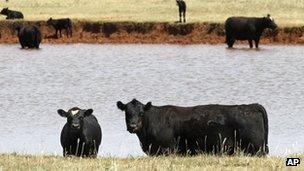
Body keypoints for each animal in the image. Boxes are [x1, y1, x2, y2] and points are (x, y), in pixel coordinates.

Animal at [116, 99, 268, 156]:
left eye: (141, 113)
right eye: (127, 113)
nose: (133, 125)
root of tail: (252, 105)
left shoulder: (167, 150)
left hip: (255, 148)